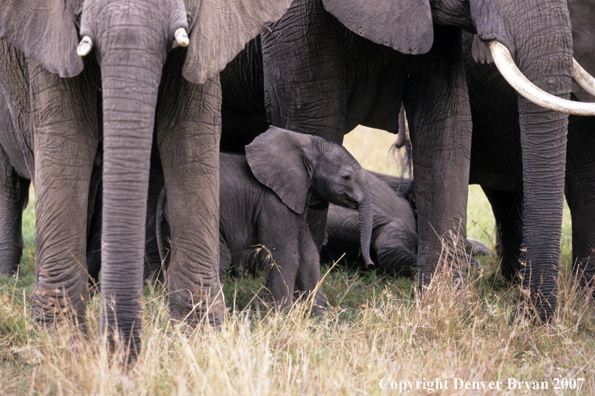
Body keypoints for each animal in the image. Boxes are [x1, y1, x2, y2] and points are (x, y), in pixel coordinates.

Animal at [158, 127, 372, 312]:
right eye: (346, 177)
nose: (369, 264)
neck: (303, 145)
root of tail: (165, 192)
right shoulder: (274, 202)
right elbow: (286, 255)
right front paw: (282, 318)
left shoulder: (296, 198)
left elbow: (309, 254)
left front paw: (318, 319)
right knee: (221, 258)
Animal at [220, 0, 595, 322]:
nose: (522, 315)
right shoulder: (292, 24)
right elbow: (312, 120)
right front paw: (305, 309)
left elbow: (445, 122)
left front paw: (443, 303)